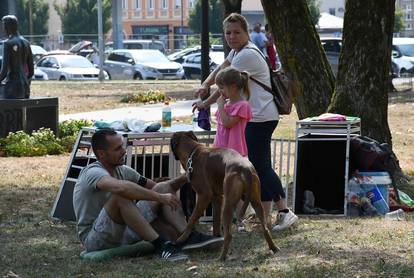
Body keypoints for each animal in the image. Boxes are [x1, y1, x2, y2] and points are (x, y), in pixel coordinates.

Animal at [170, 131, 280, 260]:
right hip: (256, 202)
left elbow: (191, 219)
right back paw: (274, 248)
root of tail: (245, 169)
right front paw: (215, 238)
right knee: (265, 229)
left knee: (229, 235)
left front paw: (181, 239)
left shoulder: (204, 196)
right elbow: (216, 222)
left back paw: (222, 257)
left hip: (228, 205)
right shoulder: (217, 198)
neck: (193, 152)